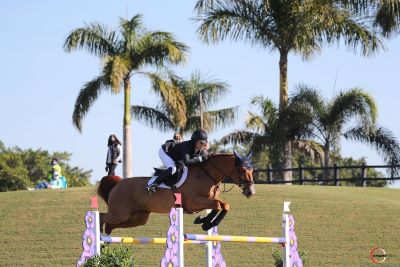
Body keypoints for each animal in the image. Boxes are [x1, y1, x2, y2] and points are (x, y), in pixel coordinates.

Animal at [97, 152, 253, 236]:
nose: (250, 191)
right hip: (119, 213)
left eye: (252, 170)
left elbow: (224, 205)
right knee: (102, 216)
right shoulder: (193, 202)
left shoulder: (208, 200)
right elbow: (218, 205)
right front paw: (205, 223)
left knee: (111, 225)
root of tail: (118, 184)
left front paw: (204, 222)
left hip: (138, 218)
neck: (208, 175)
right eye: (241, 170)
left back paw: (106, 238)